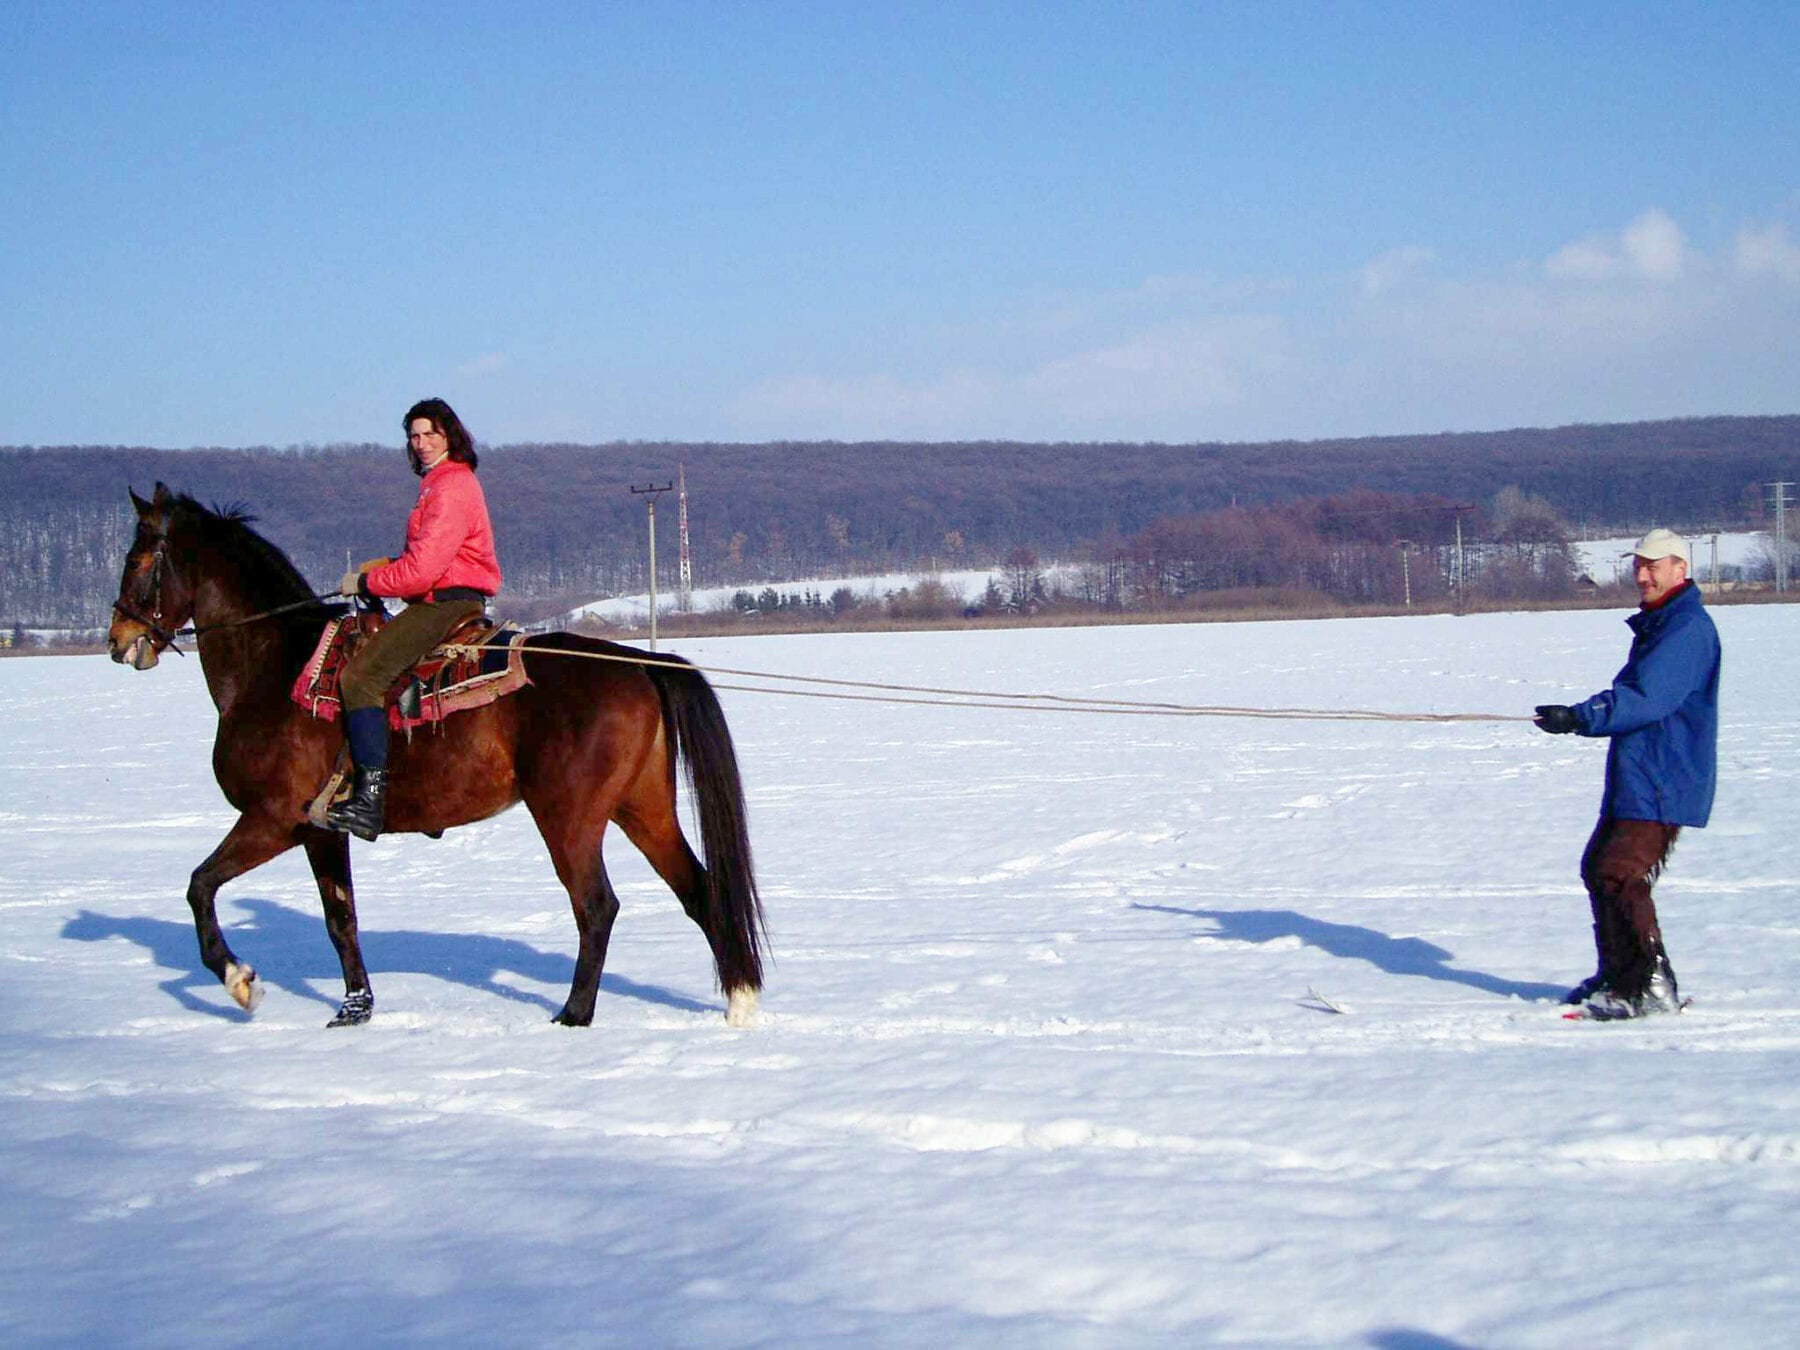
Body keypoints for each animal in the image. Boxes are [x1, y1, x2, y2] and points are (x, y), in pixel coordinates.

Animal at [105, 482, 766, 1022]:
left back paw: (574, 1016)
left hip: (569, 816)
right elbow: (340, 919)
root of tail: (639, 661)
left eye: (138, 561)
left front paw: (240, 980)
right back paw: (739, 1002)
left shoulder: (272, 819)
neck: (275, 667)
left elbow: (200, 886)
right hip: (642, 809)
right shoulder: (320, 831)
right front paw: (355, 1008)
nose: (118, 639)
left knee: (597, 906)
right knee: (699, 890)